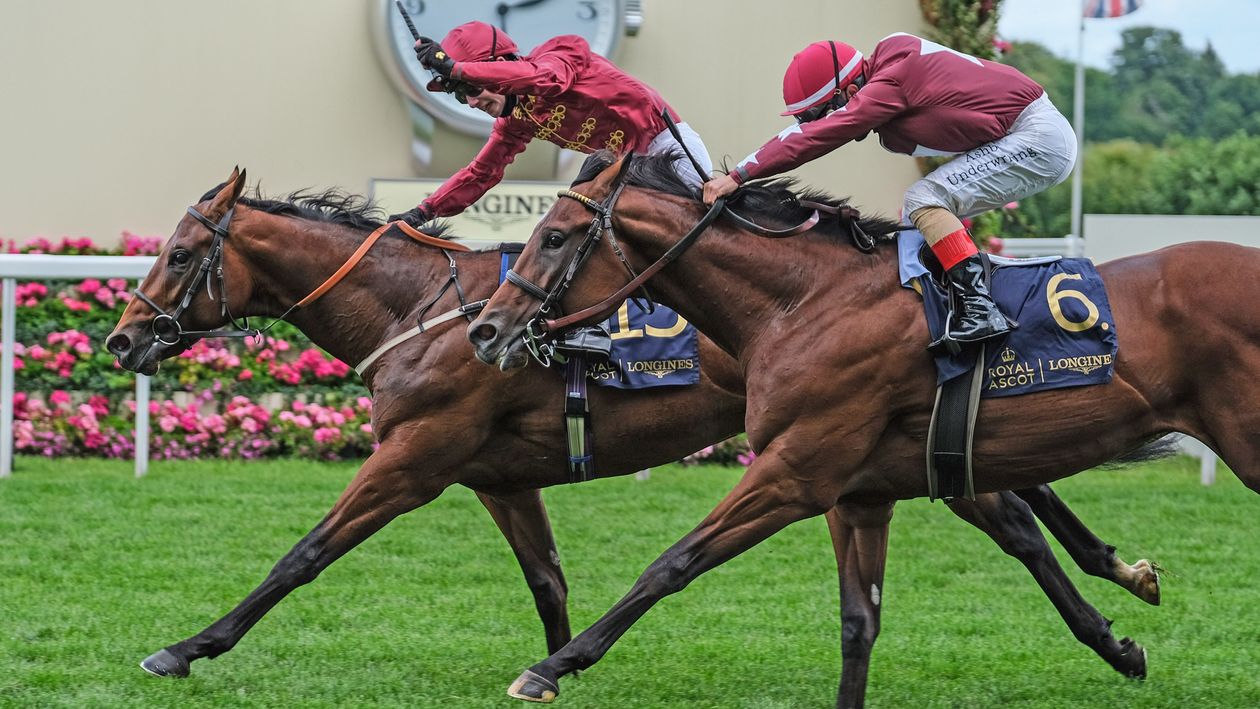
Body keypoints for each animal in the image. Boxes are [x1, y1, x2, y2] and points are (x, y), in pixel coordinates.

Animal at [110, 167, 1159, 705]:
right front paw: (560, 664)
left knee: (1015, 522)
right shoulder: (498, 475)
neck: (421, 311)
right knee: (1015, 517)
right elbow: (547, 578)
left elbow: (303, 555)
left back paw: (1115, 617)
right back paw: (1117, 626)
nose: (122, 337)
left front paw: (187, 646)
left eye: (177, 253)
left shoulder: (415, 457)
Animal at [463, 152, 1249, 705]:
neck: (805, 302)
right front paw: (1122, 632)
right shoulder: (864, 491)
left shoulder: (797, 472)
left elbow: (673, 563)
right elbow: (858, 622)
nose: (484, 329)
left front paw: (550, 666)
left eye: (554, 237)